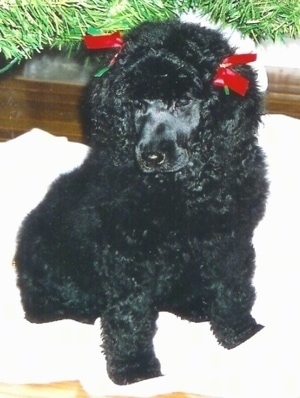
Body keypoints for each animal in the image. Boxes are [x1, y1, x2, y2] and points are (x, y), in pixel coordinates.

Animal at [15, 19, 268, 386]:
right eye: (136, 104)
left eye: (183, 102)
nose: (150, 156)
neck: (184, 185)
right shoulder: (127, 254)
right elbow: (130, 314)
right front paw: (135, 371)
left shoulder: (229, 239)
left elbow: (233, 288)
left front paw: (241, 335)